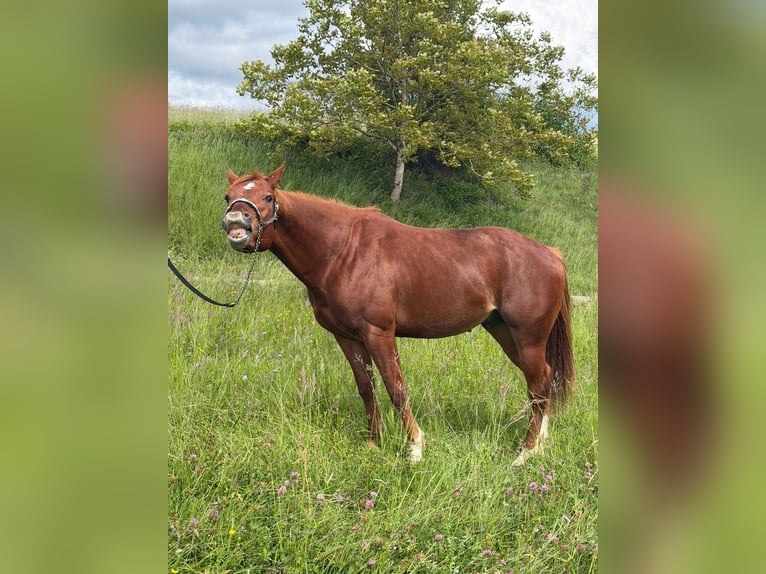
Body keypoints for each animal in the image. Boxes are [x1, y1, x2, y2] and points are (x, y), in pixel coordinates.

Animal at [221, 163, 574, 464]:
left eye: (268, 197)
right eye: (227, 196)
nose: (236, 225)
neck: (344, 252)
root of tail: (551, 254)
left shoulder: (378, 332)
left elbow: (396, 388)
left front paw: (415, 447)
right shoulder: (347, 337)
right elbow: (366, 387)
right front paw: (373, 442)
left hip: (527, 337)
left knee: (538, 384)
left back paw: (525, 453)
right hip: (505, 332)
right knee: (543, 379)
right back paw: (540, 443)